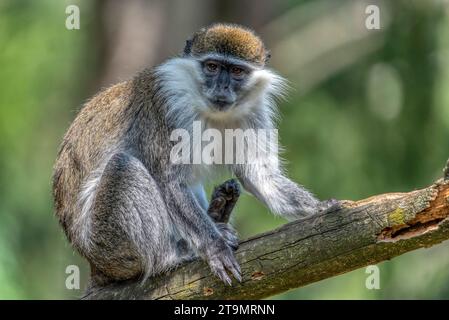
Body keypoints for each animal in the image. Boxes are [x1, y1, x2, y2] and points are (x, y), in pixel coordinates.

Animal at [52, 21, 338, 288]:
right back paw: (173, 254)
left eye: (236, 71)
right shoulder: (165, 106)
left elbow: (259, 176)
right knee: (124, 167)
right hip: (108, 246)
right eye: (211, 66)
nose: (221, 88)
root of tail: (95, 266)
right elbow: (170, 182)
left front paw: (319, 208)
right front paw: (215, 248)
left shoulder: (254, 113)